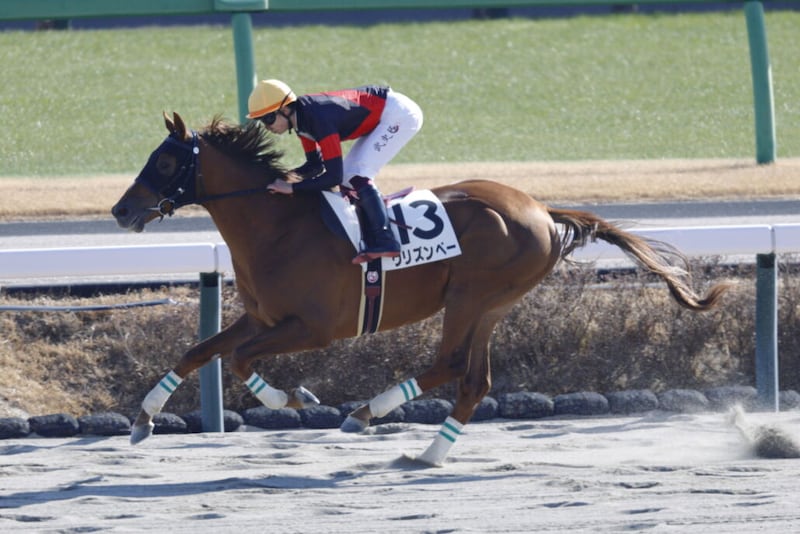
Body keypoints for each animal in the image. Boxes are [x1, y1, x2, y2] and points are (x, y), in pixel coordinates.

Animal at [112, 112, 728, 466]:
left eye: (164, 160)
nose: (120, 210)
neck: (278, 225)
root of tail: (542, 210)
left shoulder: (313, 328)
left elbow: (239, 362)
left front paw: (294, 398)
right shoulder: (262, 317)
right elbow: (199, 351)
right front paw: (143, 420)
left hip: (471, 296)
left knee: (449, 364)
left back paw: (367, 412)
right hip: (492, 305)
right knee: (473, 380)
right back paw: (430, 453)